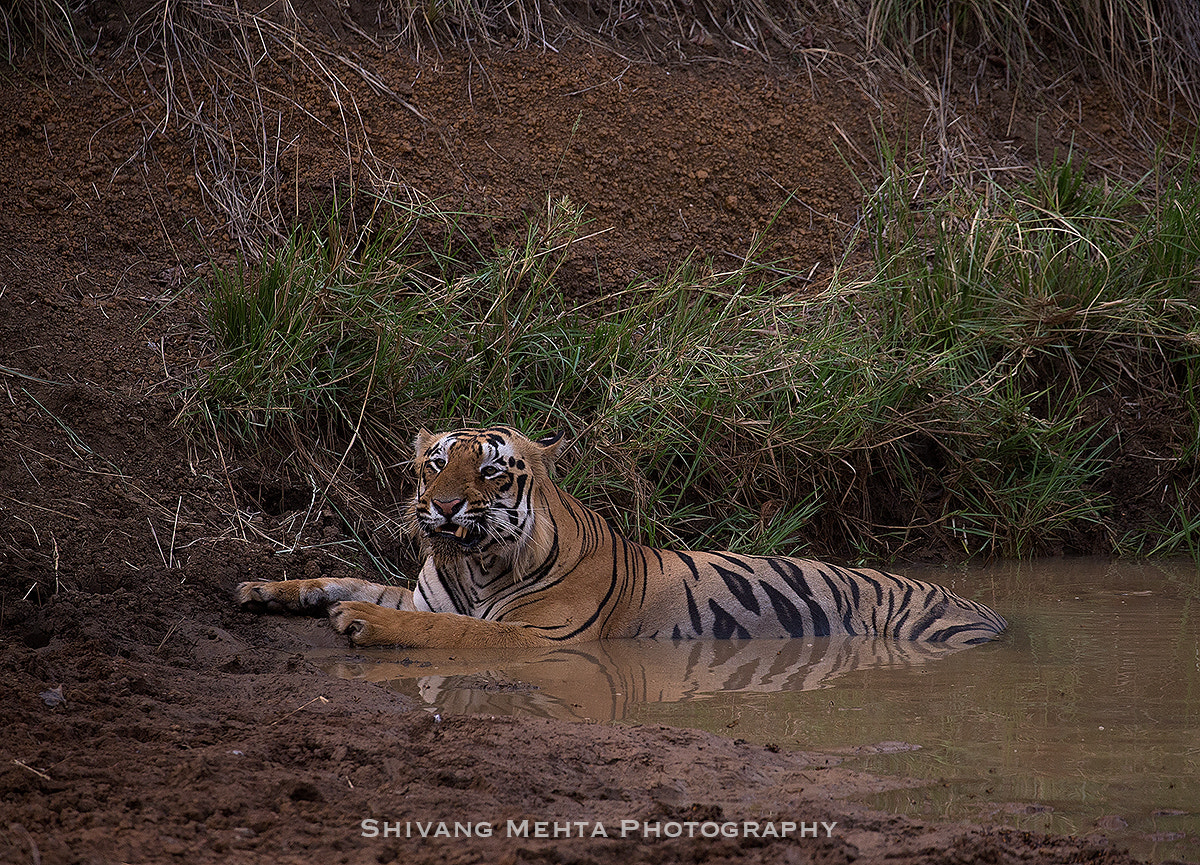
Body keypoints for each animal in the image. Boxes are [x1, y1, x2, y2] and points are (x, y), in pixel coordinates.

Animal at [234, 424, 1003, 647]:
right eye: (434, 462)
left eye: (489, 469)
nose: (445, 505)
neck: (474, 562)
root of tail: (986, 608)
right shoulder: (427, 593)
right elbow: (349, 577)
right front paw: (266, 587)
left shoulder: (541, 636)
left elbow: (451, 631)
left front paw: (358, 620)